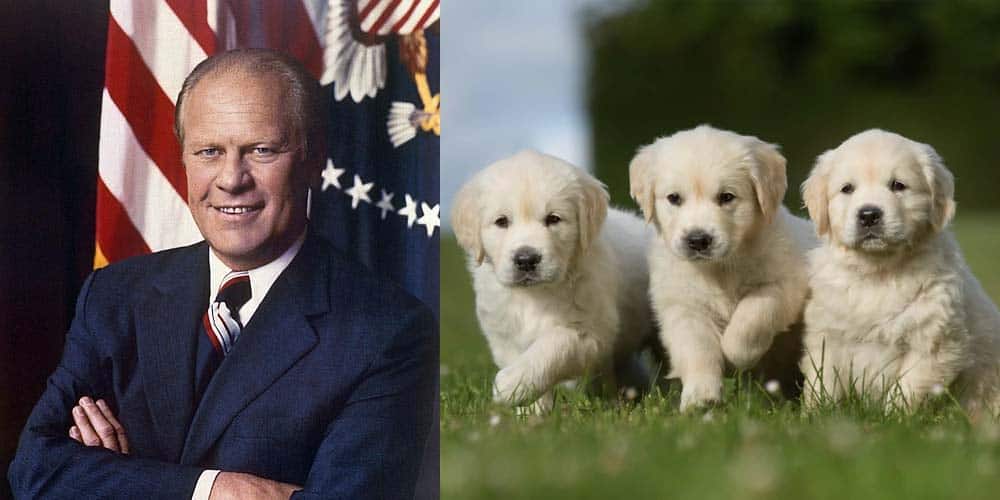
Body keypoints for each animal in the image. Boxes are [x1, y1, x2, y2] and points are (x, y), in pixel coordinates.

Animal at [452, 149, 656, 410]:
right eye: (502, 221)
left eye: (553, 219)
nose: (526, 259)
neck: (535, 294)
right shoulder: (504, 334)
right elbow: (521, 359)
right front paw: (530, 409)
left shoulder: (591, 333)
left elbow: (553, 346)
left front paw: (510, 385)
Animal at [632, 124, 820, 410]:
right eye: (674, 198)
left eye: (726, 197)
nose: (698, 240)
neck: (719, 269)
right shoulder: (683, 307)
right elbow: (697, 349)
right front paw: (700, 397)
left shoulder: (786, 283)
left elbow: (754, 313)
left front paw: (735, 352)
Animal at [800, 127, 1000, 416]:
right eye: (847, 189)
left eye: (898, 185)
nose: (869, 215)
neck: (878, 272)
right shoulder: (827, 335)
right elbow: (823, 381)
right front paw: (816, 415)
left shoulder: (933, 343)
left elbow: (906, 390)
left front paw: (894, 419)